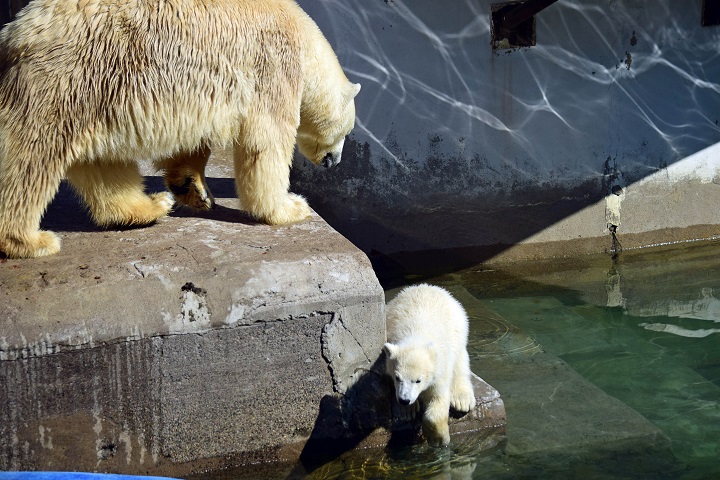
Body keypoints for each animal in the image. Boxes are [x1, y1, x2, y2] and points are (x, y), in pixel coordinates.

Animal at [0, 0, 360, 258]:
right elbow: (266, 140)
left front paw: (192, 188)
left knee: (103, 162)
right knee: (29, 158)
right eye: (347, 133)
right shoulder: (271, 64)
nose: (336, 162)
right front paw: (291, 207)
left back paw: (148, 207)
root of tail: (14, 33)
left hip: (97, 93)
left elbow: (193, 144)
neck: (305, 41)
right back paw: (29, 241)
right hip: (66, 78)